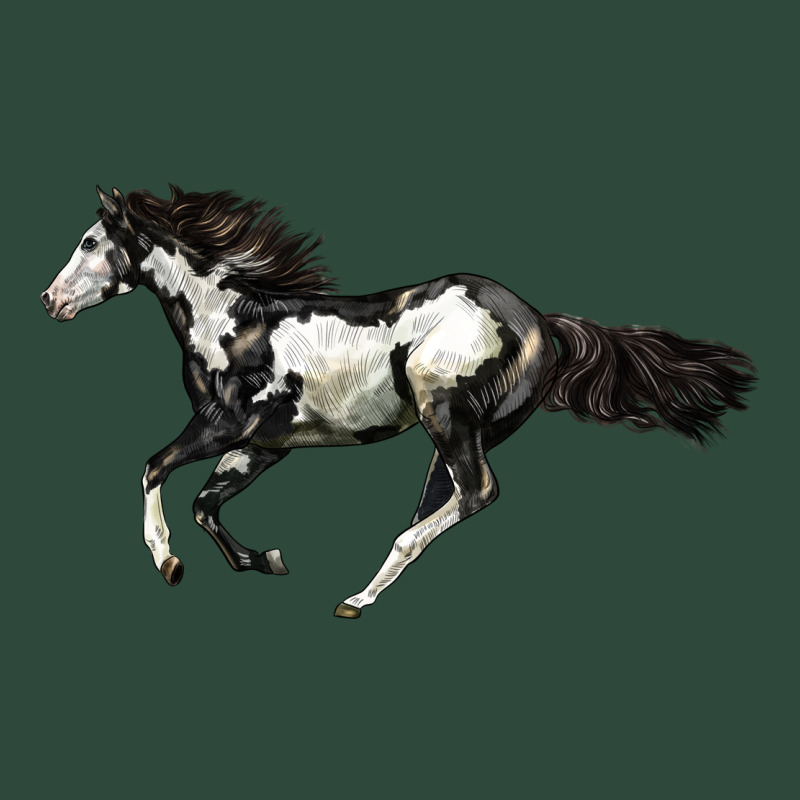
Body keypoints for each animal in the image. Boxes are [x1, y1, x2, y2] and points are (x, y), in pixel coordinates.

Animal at [40, 186, 756, 618]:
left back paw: (357, 598)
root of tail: (540, 322)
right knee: (446, 503)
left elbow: (153, 469)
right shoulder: (264, 446)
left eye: (88, 242)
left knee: (475, 494)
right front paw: (265, 560)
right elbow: (205, 504)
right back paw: (362, 592)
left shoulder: (225, 425)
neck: (232, 321)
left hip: (444, 413)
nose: (49, 300)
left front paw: (168, 564)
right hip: (460, 433)